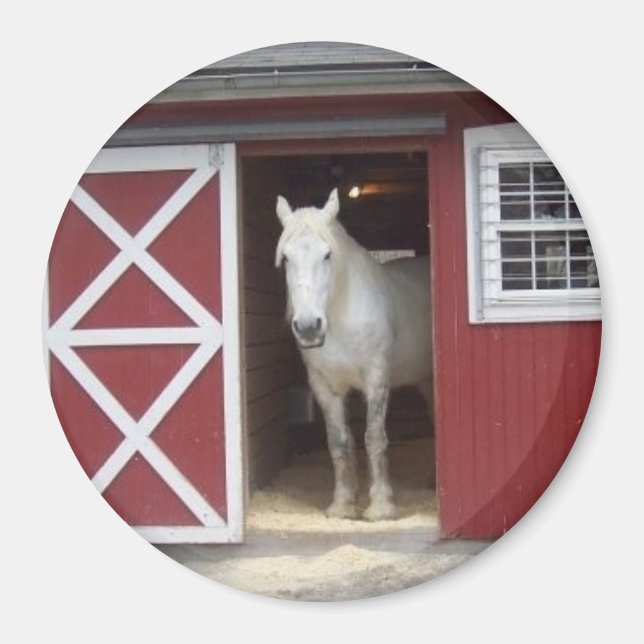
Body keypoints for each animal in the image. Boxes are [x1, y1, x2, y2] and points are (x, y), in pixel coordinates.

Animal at [275, 188, 432, 520]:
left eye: (327, 254)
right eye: (286, 257)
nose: (308, 327)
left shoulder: (376, 380)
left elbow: (374, 438)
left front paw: (381, 506)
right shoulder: (325, 387)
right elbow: (339, 441)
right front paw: (342, 504)